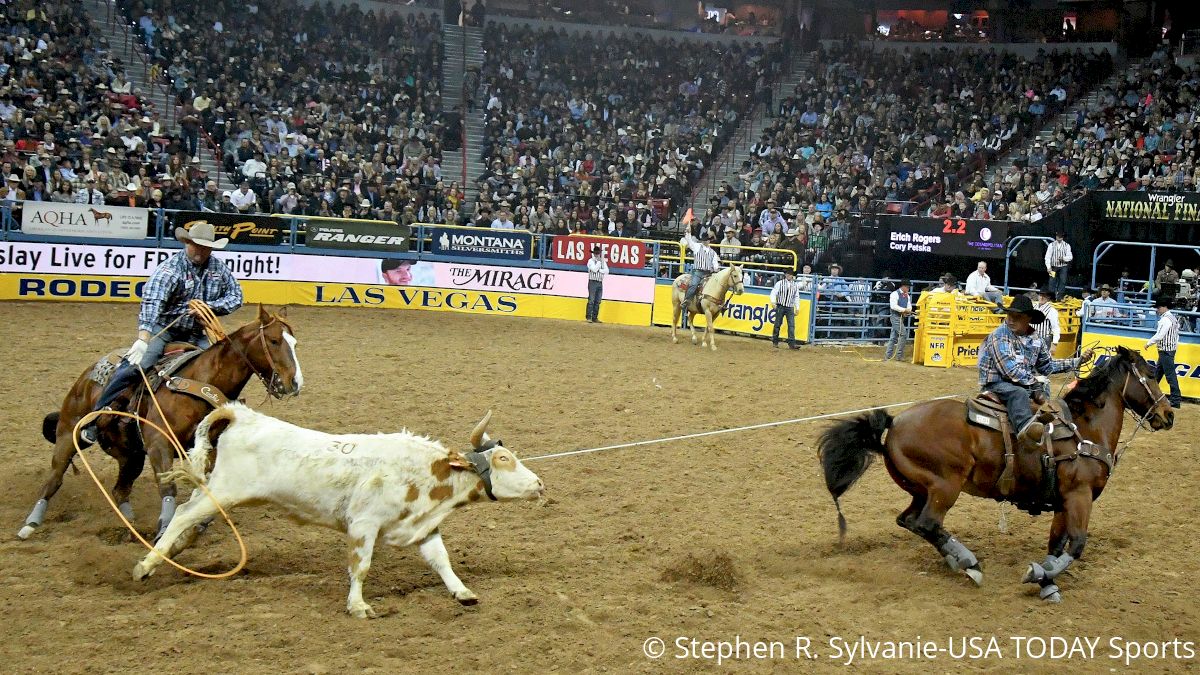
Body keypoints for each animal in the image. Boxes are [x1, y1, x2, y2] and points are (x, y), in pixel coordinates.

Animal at [17, 305, 304, 540]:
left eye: (295, 343)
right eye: (274, 340)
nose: (294, 383)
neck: (203, 381)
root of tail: (85, 377)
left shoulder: (209, 449)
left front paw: (197, 524)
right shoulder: (159, 444)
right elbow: (168, 487)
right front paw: (165, 528)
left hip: (131, 455)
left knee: (120, 490)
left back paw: (130, 526)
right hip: (69, 434)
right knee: (54, 479)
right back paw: (30, 524)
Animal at [816, 345, 1171, 598]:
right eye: (1151, 375)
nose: (1168, 415)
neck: (1085, 430)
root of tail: (894, 423)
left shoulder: (1063, 503)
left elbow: (1056, 545)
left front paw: (1047, 581)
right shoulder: (1079, 496)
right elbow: (1078, 545)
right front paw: (1039, 575)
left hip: (921, 488)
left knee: (910, 521)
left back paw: (956, 560)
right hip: (945, 487)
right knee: (928, 523)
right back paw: (969, 564)